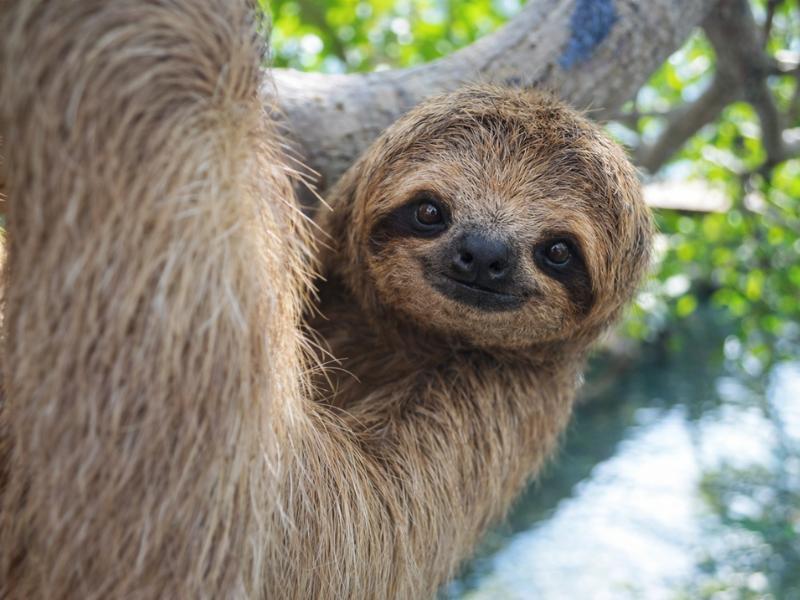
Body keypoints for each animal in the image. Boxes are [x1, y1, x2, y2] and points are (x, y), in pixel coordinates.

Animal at [0, 0, 652, 598]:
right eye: (429, 211)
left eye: (559, 250)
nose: (484, 252)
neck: (392, 338)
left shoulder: (496, 407)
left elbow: (272, 529)